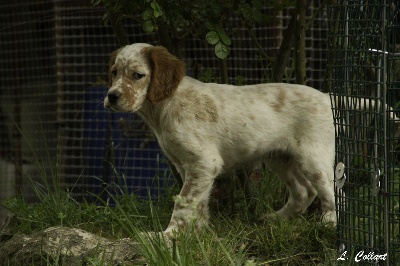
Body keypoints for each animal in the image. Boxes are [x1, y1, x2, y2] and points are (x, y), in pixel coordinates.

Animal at [104, 43, 336, 239]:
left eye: (138, 75)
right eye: (114, 72)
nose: (112, 96)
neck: (166, 105)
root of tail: (328, 97)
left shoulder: (203, 163)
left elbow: (183, 203)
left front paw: (168, 235)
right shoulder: (188, 167)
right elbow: (199, 204)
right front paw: (198, 234)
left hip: (313, 158)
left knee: (330, 192)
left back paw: (329, 225)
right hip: (280, 158)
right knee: (303, 191)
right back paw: (275, 219)